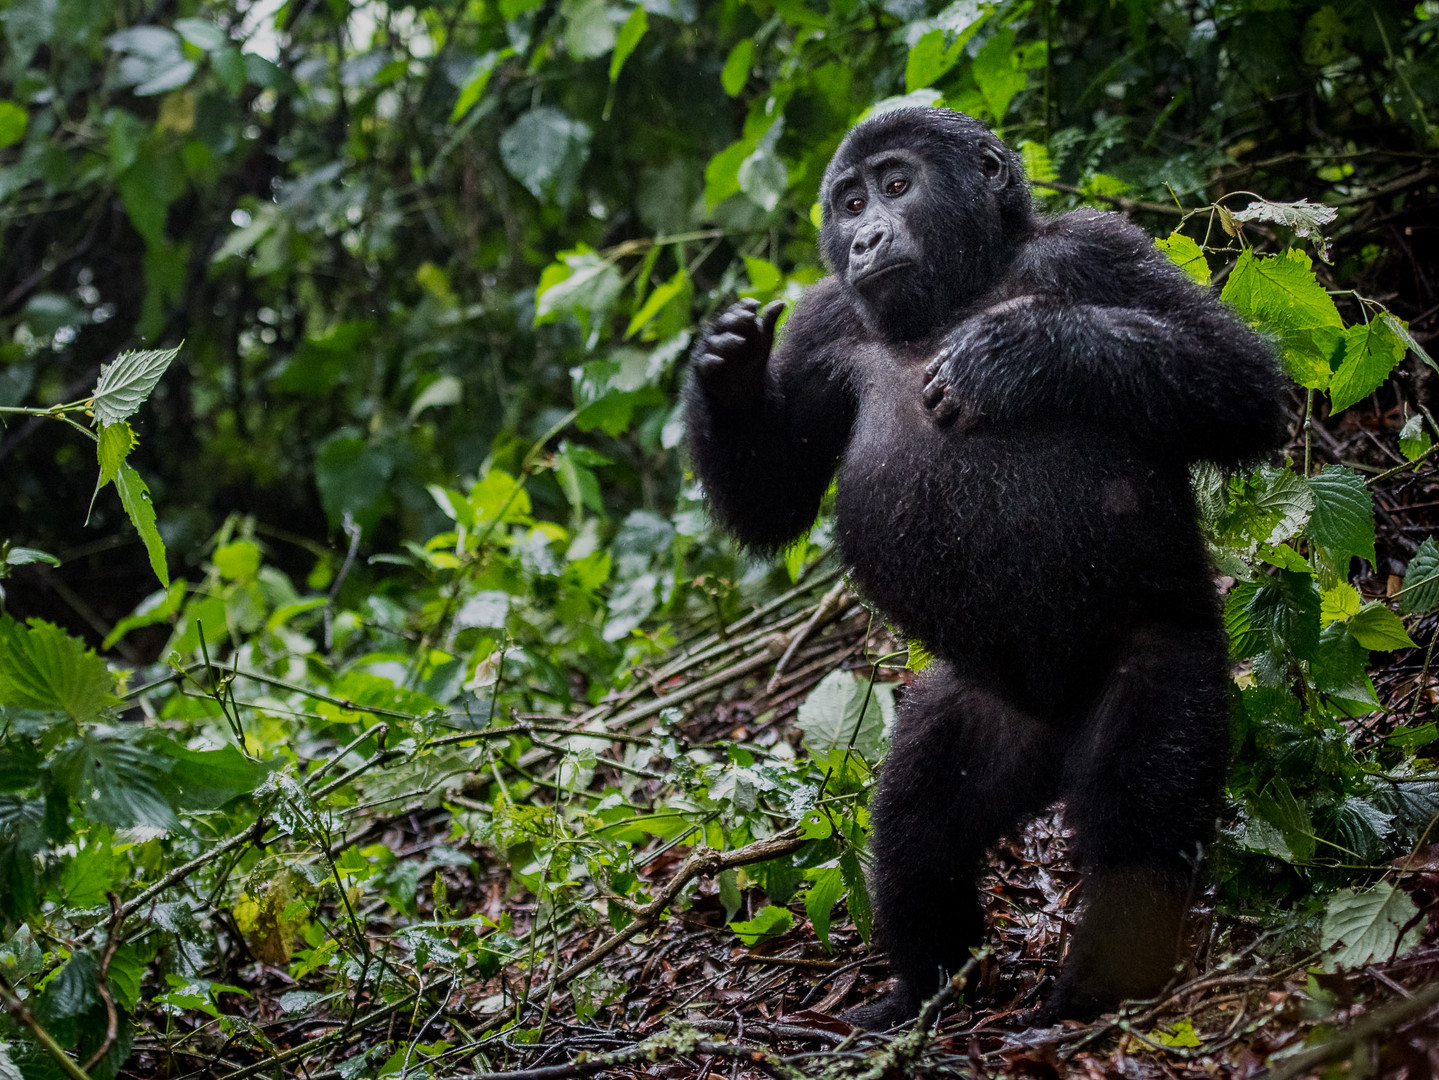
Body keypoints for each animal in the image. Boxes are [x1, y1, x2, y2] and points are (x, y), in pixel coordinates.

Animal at [684, 107, 1295, 1029]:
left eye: (896, 185)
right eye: (850, 201)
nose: (864, 237)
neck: (963, 284)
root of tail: (1057, 736)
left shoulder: (1100, 246)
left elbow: (1245, 384)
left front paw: (1024, 349)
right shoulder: (825, 319)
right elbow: (773, 495)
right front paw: (725, 369)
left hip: (1171, 655)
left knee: (1139, 810)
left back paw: (1098, 981)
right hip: (990, 710)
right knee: (918, 822)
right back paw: (922, 987)